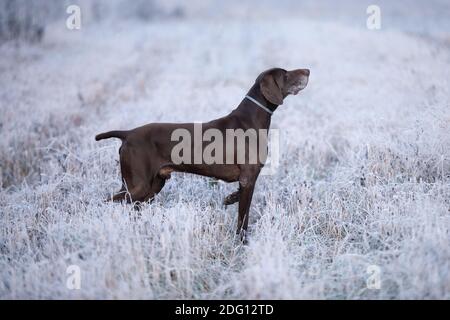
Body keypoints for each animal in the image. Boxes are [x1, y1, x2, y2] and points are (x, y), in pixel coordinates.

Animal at [96, 68, 310, 240]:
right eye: (285, 74)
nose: (307, 71)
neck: (251, 119)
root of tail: (127, 134)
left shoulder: (245, 180)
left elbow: (237, 198)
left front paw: (229, 198)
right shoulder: (248, 179)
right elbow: (243, 218)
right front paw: (241, 242)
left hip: (152, 186)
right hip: (138, 186)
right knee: (105, 202)